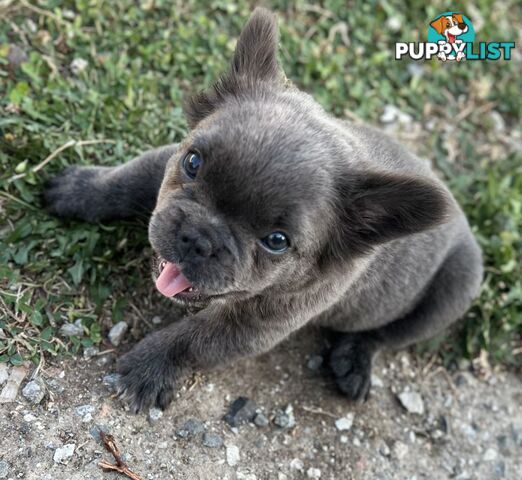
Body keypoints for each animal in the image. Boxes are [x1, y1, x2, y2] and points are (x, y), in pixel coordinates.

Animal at [43, 7, 480, 412]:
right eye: (192, 163)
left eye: (277, 241)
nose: (198, 238)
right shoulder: (164, 160)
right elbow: (127, 178)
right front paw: (81, 189)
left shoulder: (252, 327)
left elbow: (193, 340)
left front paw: (150, 367)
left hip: (456, 289)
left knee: (384, 335)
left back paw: (354, 362)